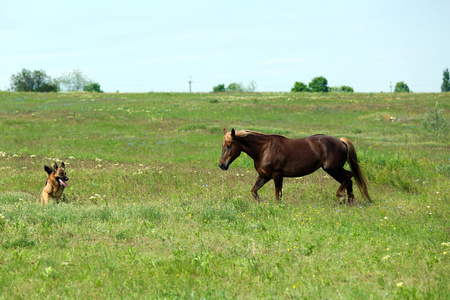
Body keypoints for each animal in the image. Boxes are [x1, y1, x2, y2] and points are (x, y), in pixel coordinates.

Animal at [217, 127, 370, 203]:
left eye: (229, 145)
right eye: (222, 145)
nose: (221, 165)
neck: (264, 149)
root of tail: (340, 141)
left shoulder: (277, 176)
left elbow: (278, 195)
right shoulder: (264, 176)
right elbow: (254, 191)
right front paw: (261, 202)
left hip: (333, 169)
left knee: (349, 176)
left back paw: (341, 196)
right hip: (333, 170)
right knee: (349, 180)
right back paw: (349, 201)